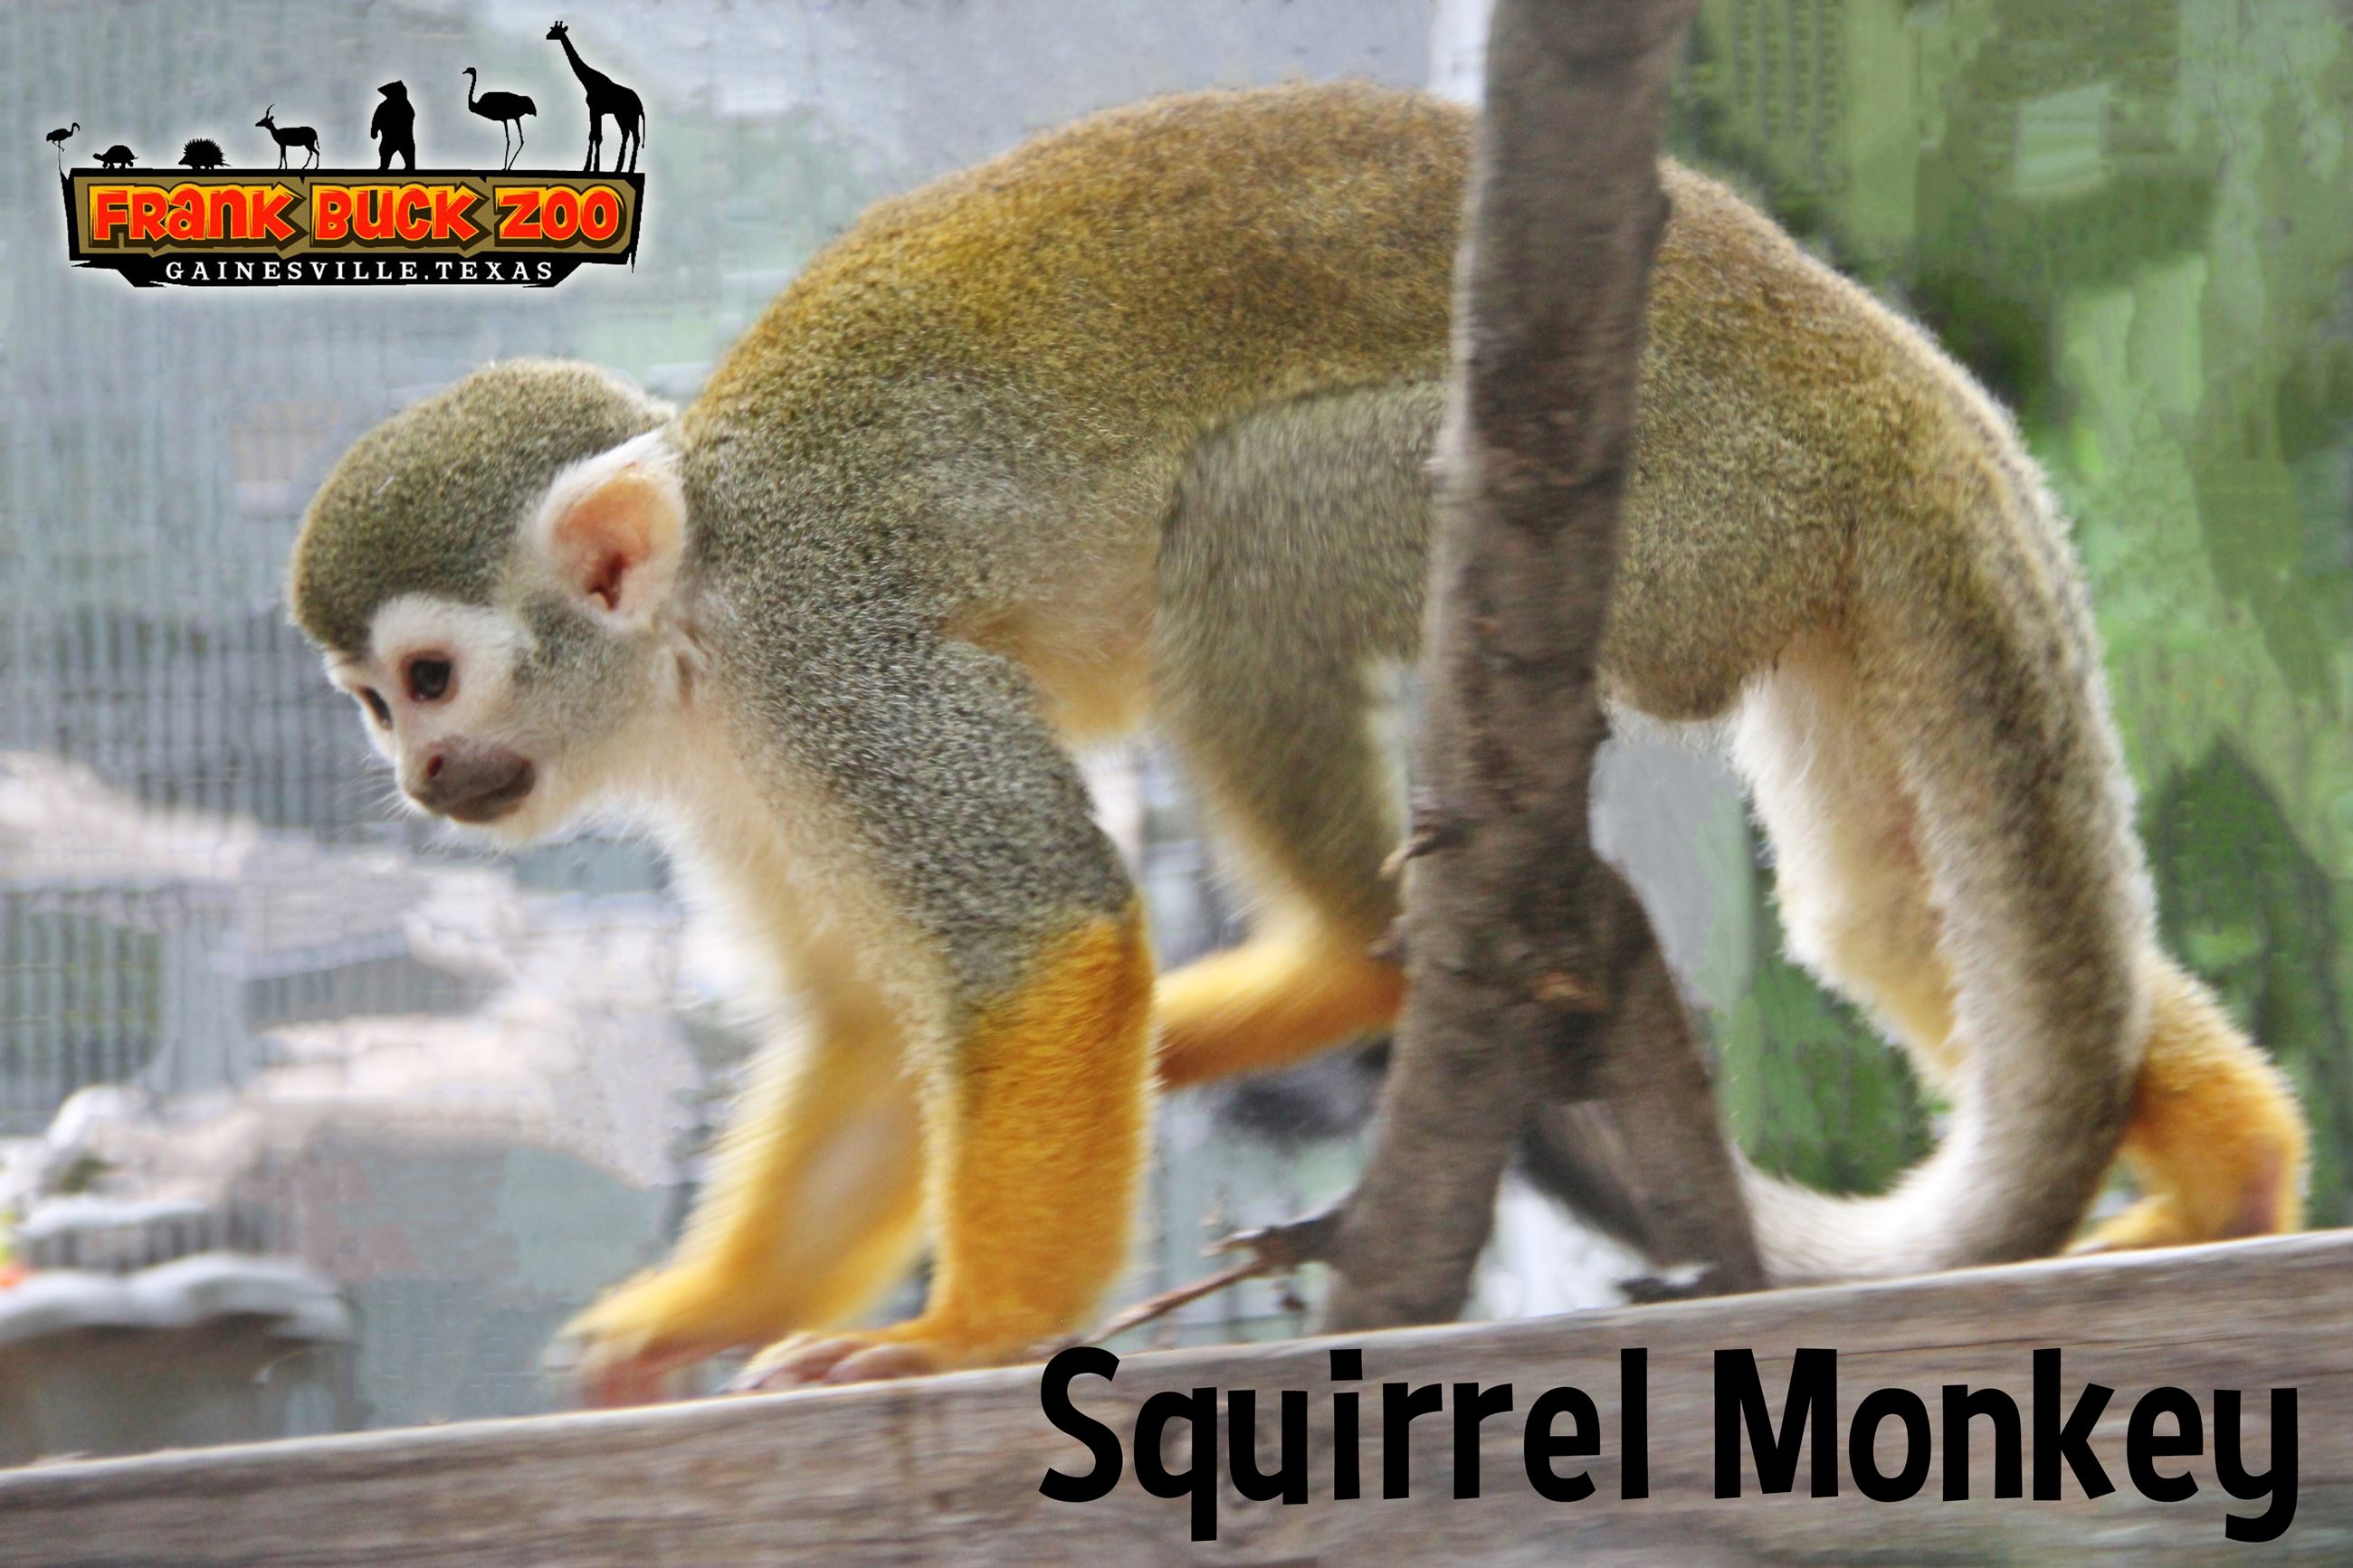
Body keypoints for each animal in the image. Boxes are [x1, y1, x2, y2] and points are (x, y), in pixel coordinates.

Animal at [288, 82, 2309, 1400]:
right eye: (373, 703)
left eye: (432, 676)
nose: (415, 778)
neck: (695, 638)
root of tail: (1872, 358)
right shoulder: (745, 766)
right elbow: (874, 1020)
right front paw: (700, 1315)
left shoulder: (829, 659)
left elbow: (1038, 939)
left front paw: (966, 1334)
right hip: (1800, 562)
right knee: (1882, 905)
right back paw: (2231, 1176)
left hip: (1671, 506)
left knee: (1244, 529)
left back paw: (1339, 963)